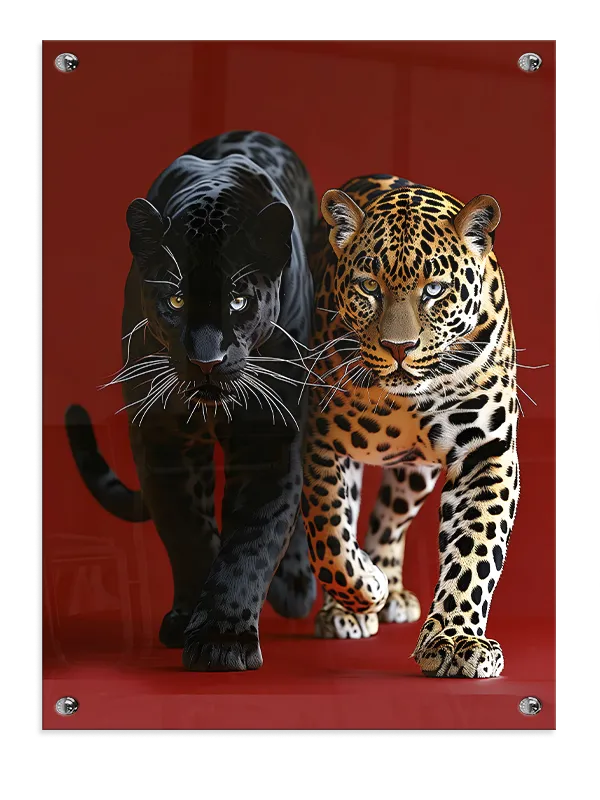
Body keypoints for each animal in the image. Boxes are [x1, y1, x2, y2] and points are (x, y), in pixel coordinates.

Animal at [301, 174, 520, 678]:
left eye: (435, 290)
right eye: (368, 286)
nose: (398, 347)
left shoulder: (487, 454)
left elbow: (475, 552)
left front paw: (456, 641)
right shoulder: (321, 440)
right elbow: (329, 535)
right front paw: (365, 589)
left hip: (415, 475)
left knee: (391, 519)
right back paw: (359, 601)